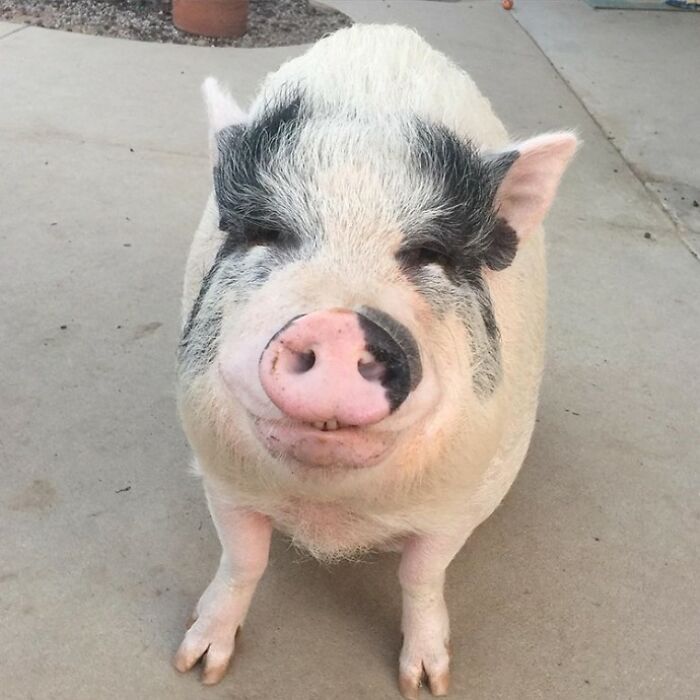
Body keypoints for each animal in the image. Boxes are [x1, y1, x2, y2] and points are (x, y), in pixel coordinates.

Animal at [175, 23, 580, 700]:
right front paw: (198, 666)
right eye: (268, 234)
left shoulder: (460, 498)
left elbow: (422, 575)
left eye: (428, 254)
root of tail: (386, 30)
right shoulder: (222, 473)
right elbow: (243, 559)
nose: (340, 323)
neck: (332, 511)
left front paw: (427, 683)